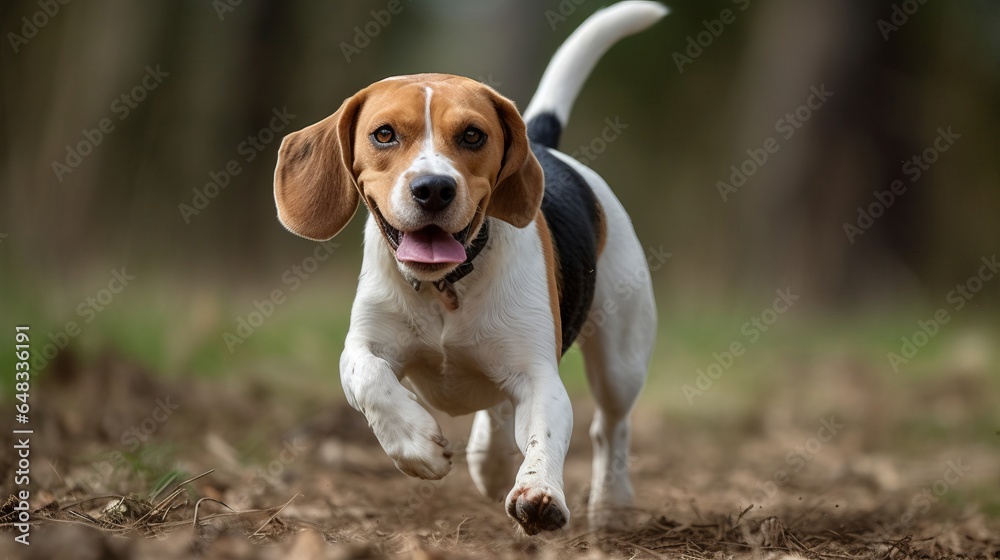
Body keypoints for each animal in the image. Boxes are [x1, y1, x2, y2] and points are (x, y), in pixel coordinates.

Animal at [274, 0, 664, 532]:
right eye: (384, 134)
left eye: (473, 135)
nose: (434, 188)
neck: (445, 286)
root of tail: (544, 145)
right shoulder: (364, 344)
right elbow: (367, 377)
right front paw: (417, 445)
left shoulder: (539, 377)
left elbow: (545, 434)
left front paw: (539, 492)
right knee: (499, 411)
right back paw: (493, 460)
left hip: (620, 359)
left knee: (610, 428)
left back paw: (612, 504)